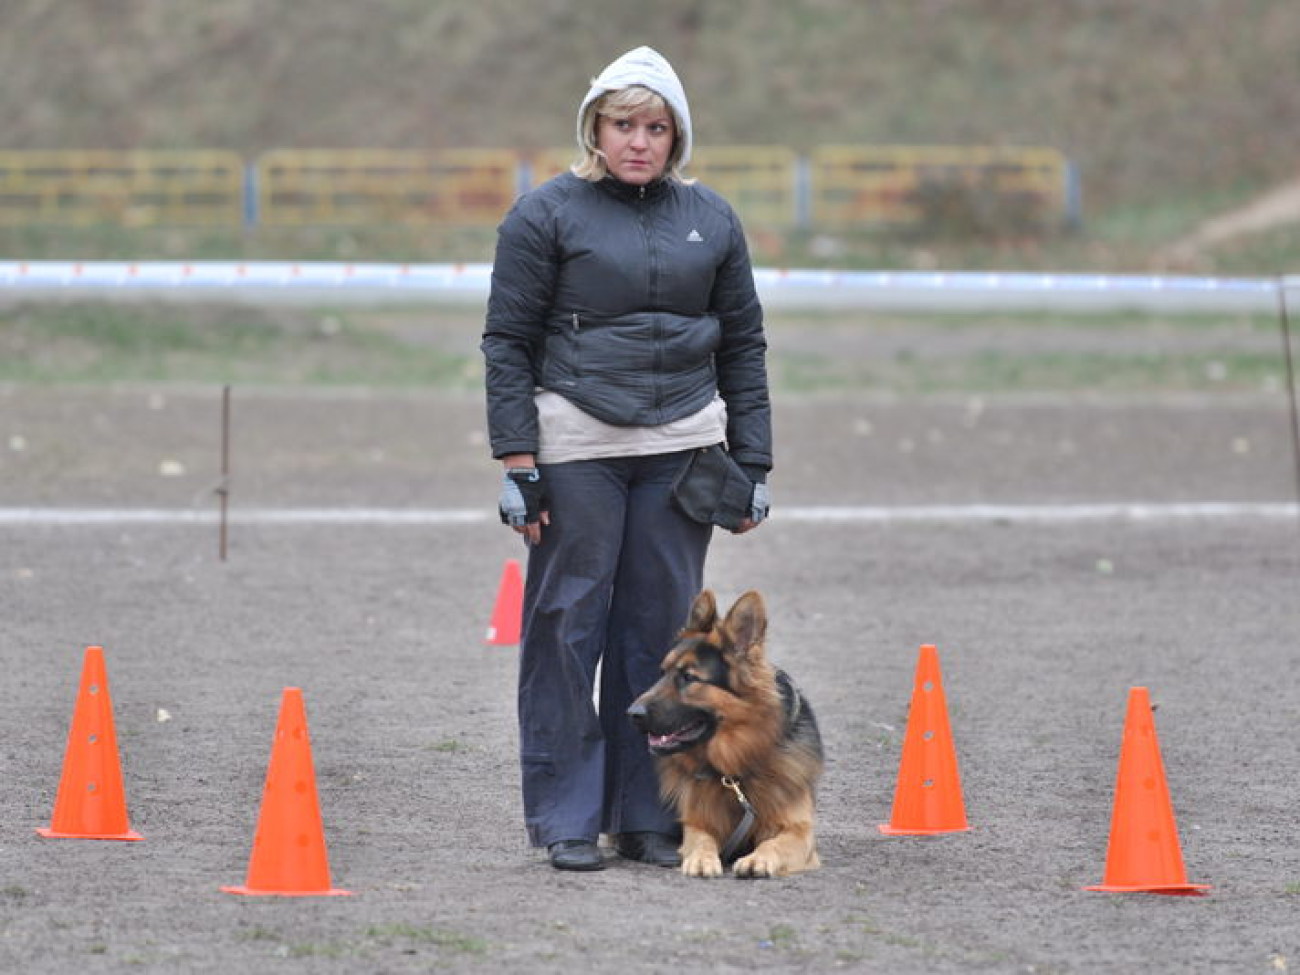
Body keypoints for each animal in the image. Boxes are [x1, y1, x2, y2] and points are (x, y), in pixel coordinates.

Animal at [626, 592, 821, 883]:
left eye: (688, 677)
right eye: (662, 673)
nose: (632, 714)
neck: (735, 765)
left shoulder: (799, 832)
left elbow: (773, 843)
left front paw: (758, 859)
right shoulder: (697, 822)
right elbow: (702, 840)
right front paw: (701, 858)